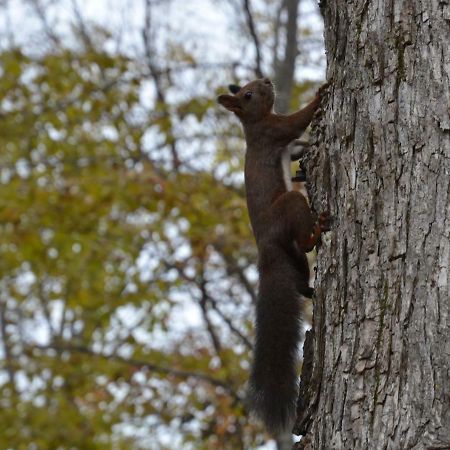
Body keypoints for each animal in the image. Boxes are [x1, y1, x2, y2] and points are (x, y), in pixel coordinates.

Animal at [218, 79, 330, 434]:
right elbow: (296, 122)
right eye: (248, 94)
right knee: (305, 240)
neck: (254, 124)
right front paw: (320, 96)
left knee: (300, 273)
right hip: (289, 206)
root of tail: (266, 253)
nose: (267, 81)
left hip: (292, 258)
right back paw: (317, 230)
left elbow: (296, 146)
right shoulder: (274, 131)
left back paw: (309, 289)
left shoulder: (281, 140)